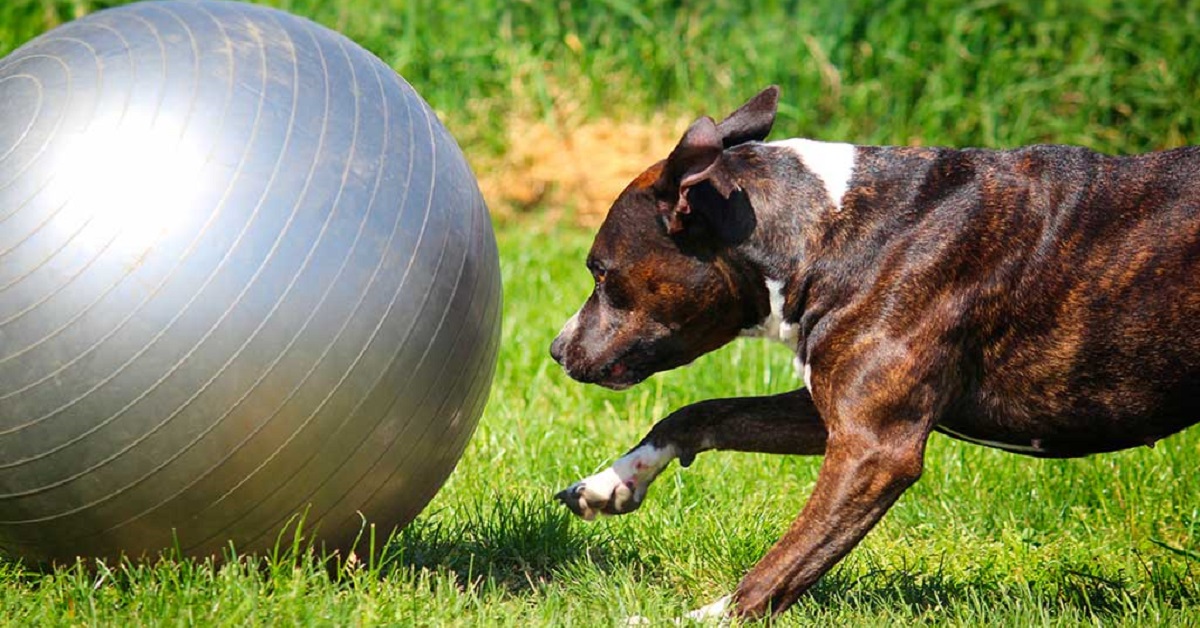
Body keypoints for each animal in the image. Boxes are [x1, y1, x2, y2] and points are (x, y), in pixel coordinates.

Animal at [549, 87, 1200, 619]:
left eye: (600, 272)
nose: (555, 349)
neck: (832, 228)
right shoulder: (833, 411)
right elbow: (700, 414)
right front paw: (609, 483)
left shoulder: (875, 450)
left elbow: (783, 565)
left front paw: (702, 617)